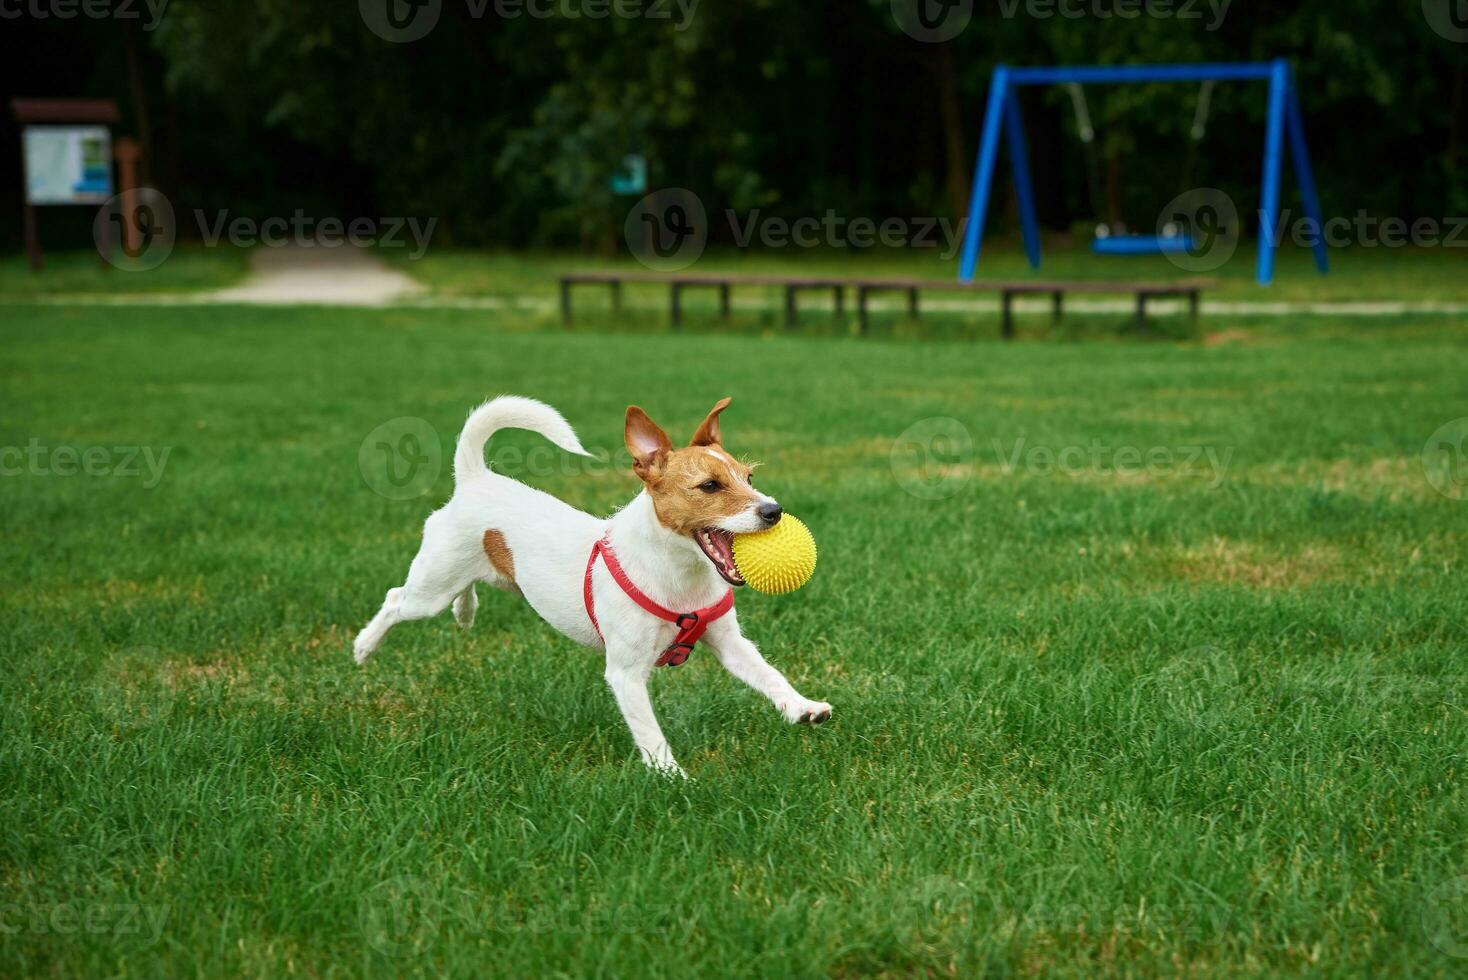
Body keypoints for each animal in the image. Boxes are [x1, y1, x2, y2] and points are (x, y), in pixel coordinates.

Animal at [350, 396, 833, 774]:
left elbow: (769, 676)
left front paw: (803, 707)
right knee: (396, 599)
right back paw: (364, 646)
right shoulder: (626, 674)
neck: (679, 575)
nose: (774, 510)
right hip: (430, 587)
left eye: (749, 478)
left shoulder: (731, 644)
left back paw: (464, 610)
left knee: (466, 588)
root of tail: (476, 479)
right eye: (710, 486)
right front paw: (672, 778)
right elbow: (649, 731)